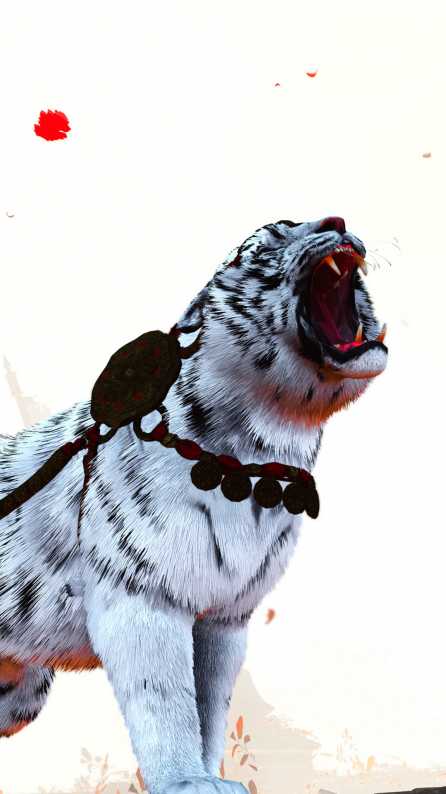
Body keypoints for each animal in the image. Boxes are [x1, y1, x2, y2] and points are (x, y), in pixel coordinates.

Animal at [0, 216, 387, 794]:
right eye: (261, 242)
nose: (337, 221)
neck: (259, 461)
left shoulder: (225, 616)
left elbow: (210, 703)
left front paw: (213, 778)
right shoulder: (142, 597)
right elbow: (166, 700)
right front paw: (185, 782)